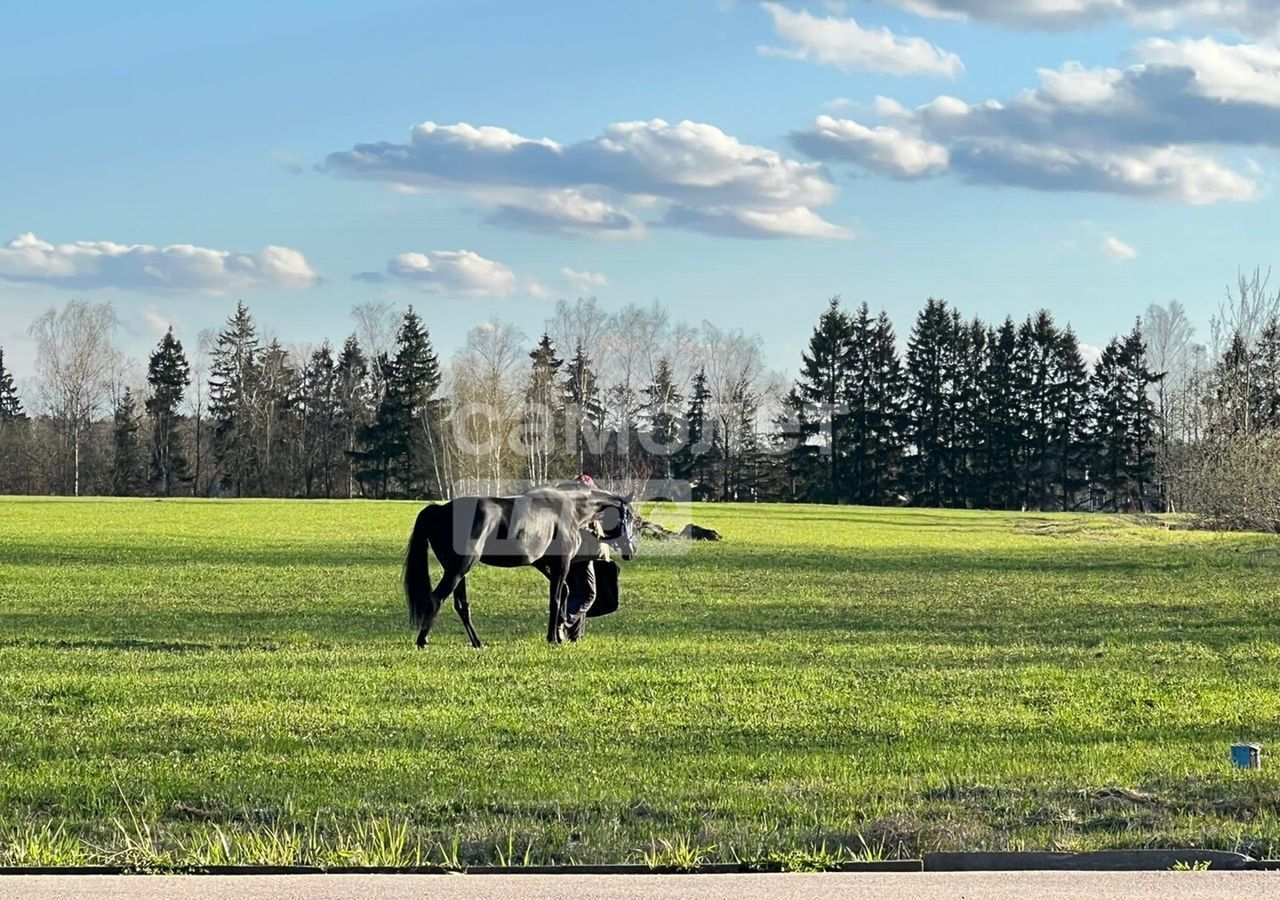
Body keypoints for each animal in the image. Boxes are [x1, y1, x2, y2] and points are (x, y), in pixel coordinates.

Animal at [401, 486, 637, 647]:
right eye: (632, 518)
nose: (631, 551)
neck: (571, 509)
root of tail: (440, 509)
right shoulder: (562, 563)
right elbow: (555, 599)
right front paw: (553, 637)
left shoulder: (543, 563)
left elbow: (565, 593)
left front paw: (560, 630)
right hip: (459, 569)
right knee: (436, 598)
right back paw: (422, 640)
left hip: (458, 572)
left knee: (461, 606)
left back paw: (478, 642)